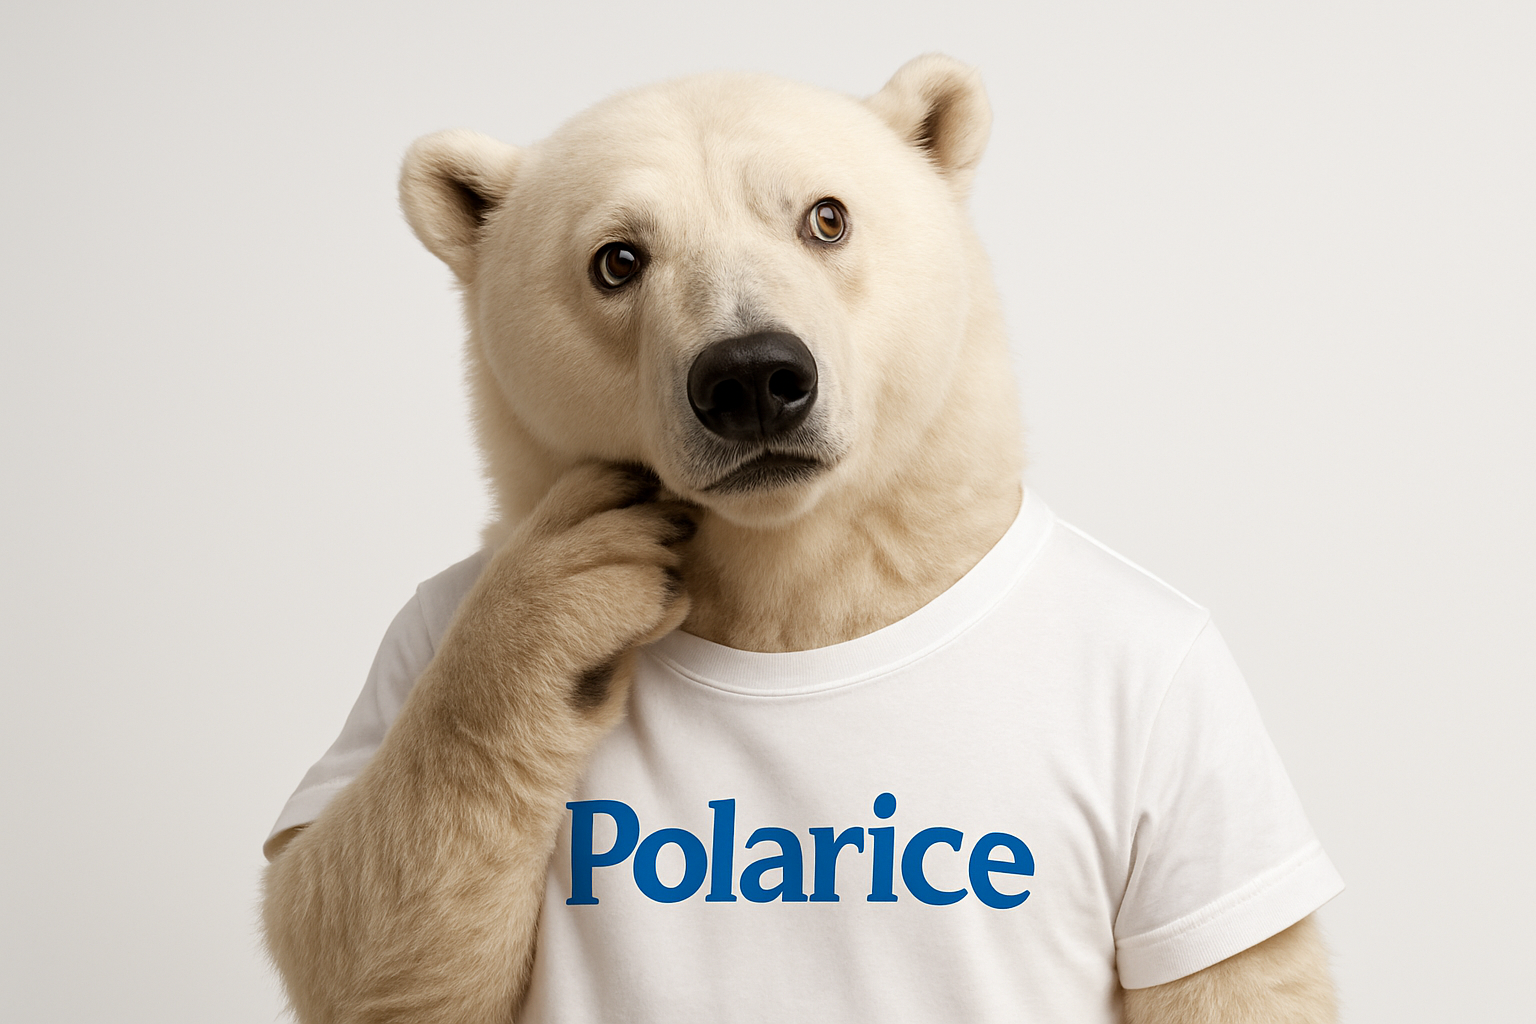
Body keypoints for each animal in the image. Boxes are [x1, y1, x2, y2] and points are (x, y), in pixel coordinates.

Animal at [262, 55, 1341, 1023]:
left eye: (827, 216)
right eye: (617, 258)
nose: (750, 376)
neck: (799, 583)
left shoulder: (1186, 714)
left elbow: (1237, 975)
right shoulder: (419, 629)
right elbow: (361, 943)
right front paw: (568, 598)